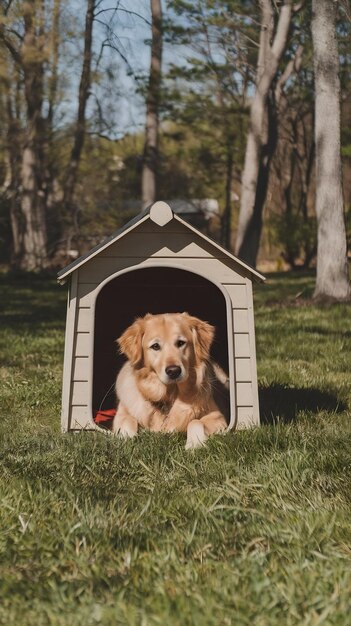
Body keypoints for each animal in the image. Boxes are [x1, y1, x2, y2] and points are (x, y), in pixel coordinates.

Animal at [111, 312, 230, 448]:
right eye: (155, 346)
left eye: (180, 343)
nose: (174, 371)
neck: (168, 395)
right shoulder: (121, 414)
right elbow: (128, 420)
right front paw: (126, 440)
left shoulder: (217, 417)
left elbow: (195, 422)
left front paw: (194, 445)